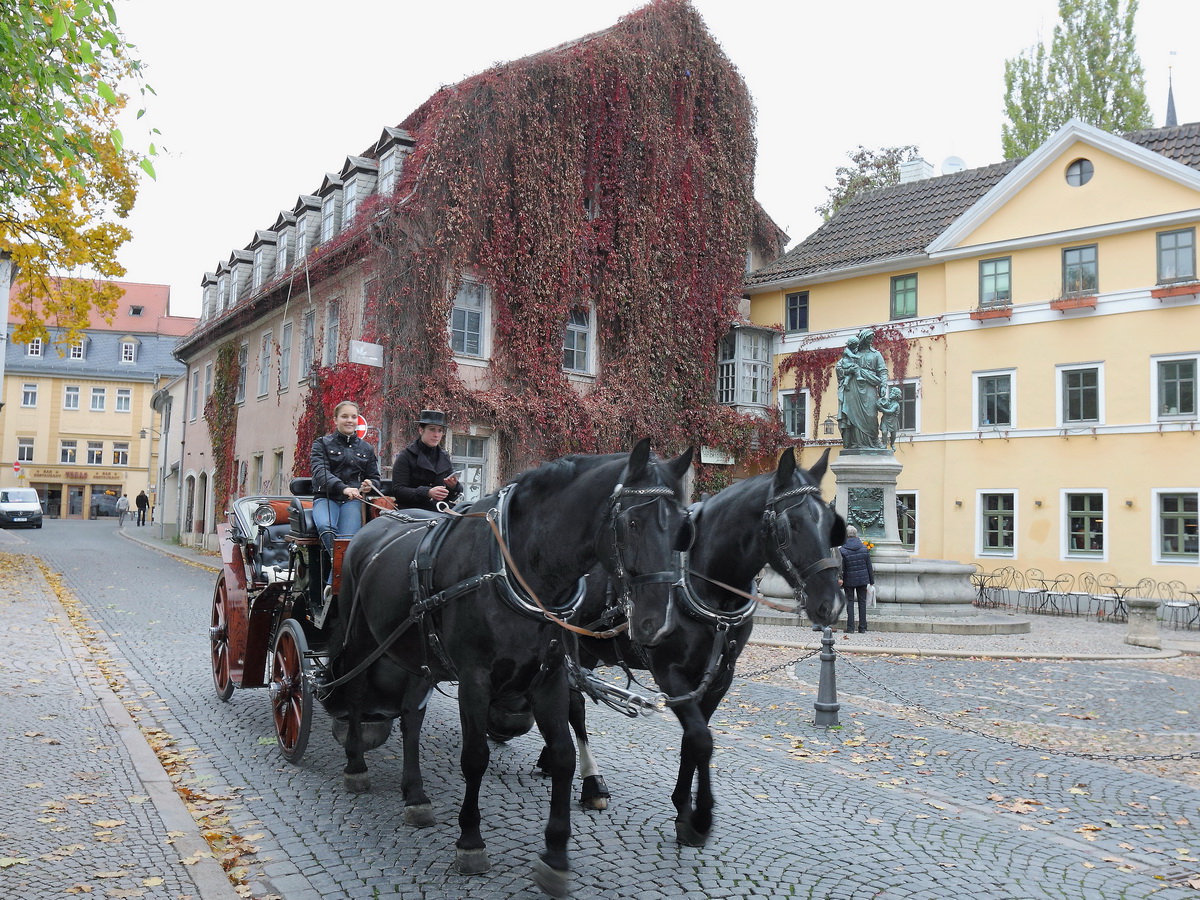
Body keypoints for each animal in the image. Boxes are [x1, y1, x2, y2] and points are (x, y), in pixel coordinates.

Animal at [328, 441, 691, 897]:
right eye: (632, 522)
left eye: (682, 528)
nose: (658, 623)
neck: (520, 571)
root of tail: (372, 528)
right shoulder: (474, 680)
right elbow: (475, 757)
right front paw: (470, 840)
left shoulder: (550, 678)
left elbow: (564, 755)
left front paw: (555, 854)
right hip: (362, 638)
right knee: (357, 691)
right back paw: (355, 764)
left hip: (415, 652)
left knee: (411, 716)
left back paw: (415, 795)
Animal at [554, 448, 844, 849]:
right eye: (792, 526)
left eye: (832, 522)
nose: (831, 604)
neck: (706, 585)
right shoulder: (669, 673)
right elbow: (702, 740)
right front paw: (700, 817)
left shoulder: (720, 676)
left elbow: (695, 736)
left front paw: (683, 809)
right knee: (574, 705)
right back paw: (590, 781)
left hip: (589, 649)